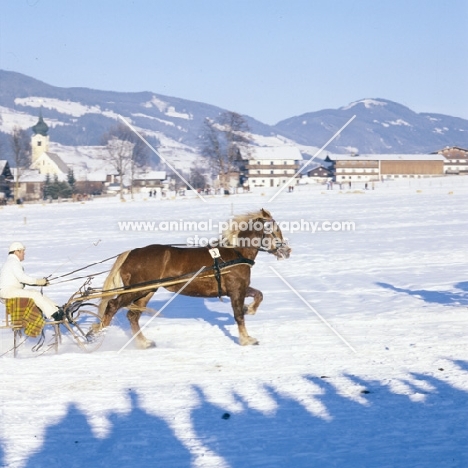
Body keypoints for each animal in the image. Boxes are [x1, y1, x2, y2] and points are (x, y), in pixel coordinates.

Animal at [97, 208, 290, 348]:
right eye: (274, 230)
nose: (287, 251)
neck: (236, 253)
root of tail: (131, 253)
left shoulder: (238, 288)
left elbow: (258, 295)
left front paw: (249, 309)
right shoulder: (236, 290)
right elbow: (238, 316)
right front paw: (246, 338)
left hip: (146, 291)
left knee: (132, 316)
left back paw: (143, 342)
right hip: (137, 289)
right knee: (112, 306)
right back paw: (98, 336)